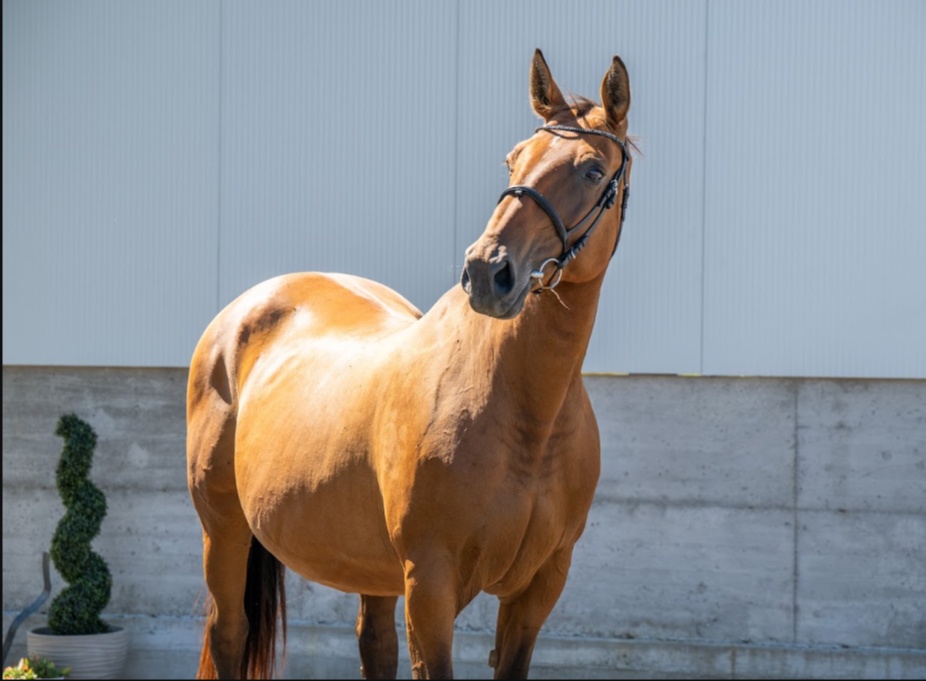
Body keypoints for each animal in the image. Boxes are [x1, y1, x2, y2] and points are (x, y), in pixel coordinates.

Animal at [186, 48, 633, 680]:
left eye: (594, 171)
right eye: (513, 159)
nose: (488, 271)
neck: (527, 419)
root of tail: (245, 308)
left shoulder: (538, 591)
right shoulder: (430, 586)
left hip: (369, 570)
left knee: (373, 645)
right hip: (223, 530)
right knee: (229, 634)